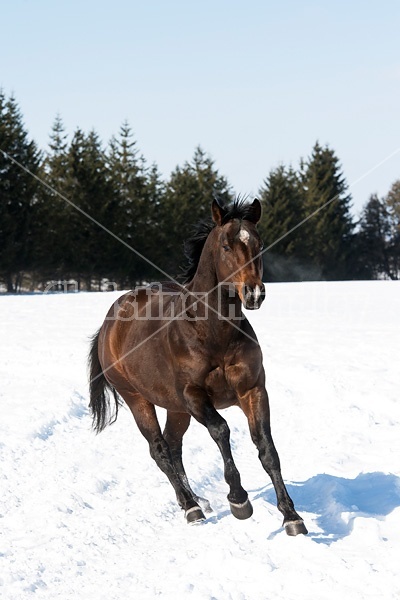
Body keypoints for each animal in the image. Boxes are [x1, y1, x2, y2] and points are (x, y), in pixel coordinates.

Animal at [89, 199, 308, 536]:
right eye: (226, 245)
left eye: (259, 244)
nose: (254, 293)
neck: (214, 332)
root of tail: (109, 323)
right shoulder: (194, 396)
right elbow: (221, 430)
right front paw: (239, 499)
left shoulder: (252, 390)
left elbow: (267, 448)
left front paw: (291, 516)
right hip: (137, 398)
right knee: (160, 449)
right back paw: (191, 507)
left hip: (175, 408)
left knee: (174, 445)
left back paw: (194, 500)